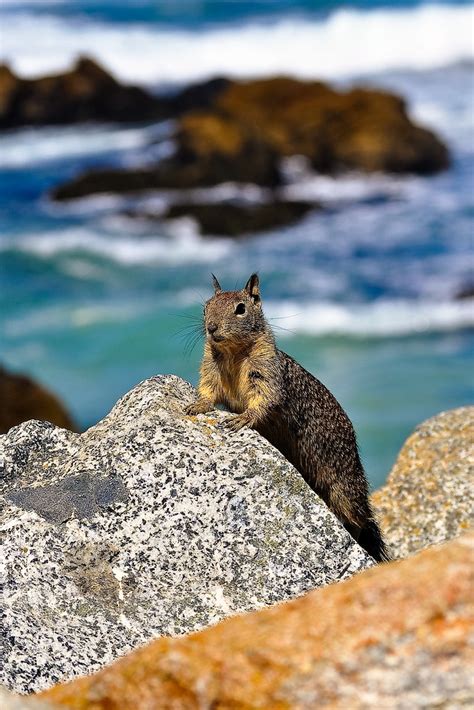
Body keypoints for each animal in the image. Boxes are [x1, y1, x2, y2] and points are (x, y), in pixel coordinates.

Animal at [184, 276, 388, 564]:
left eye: (240, 308)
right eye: (206, 307)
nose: (211, 327)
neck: (234, 353)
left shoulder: (267, 373)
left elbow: (265, 399)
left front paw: (243, 418)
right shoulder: (211, 370)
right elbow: (208, 390)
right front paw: (197, 405)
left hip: (343, 479)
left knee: (359, 518)